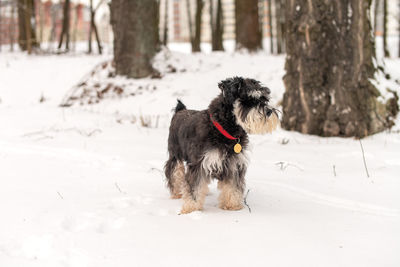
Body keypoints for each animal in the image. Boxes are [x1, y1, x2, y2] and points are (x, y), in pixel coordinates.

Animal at [162, 76, 278, 215]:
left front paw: (232, 205)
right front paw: (192, 209)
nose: (269, 111)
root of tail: (180, 111)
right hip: (175, 155)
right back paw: (177, 193)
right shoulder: (198, 164)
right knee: (175, 173)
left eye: (264, 98)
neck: (225, 129)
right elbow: (194, 187)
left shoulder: (234, 164)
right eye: (249, 99)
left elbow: (233, 187)